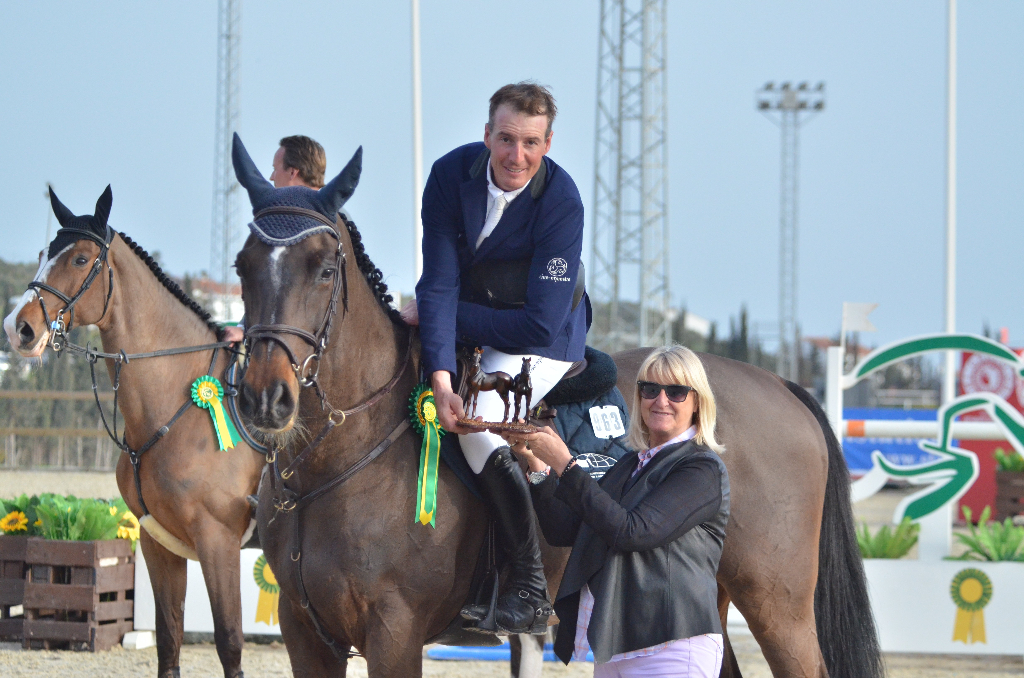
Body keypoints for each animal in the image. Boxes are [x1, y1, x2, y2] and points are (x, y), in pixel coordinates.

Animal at [4, 187, 260, 678]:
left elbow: (230, 642)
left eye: (81, 259)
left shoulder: (218, 543)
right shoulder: (159, 543)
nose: (18, 328)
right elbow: (169, 641)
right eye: (44, 254)